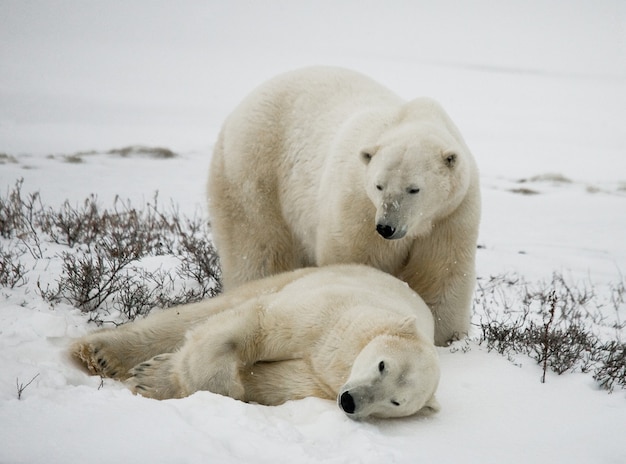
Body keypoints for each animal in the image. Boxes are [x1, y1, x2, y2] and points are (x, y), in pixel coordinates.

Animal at [70, 264, 436, 420]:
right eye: (382, 365)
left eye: (396, 402)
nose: (350, 402)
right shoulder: (330, 316)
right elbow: (257, 324)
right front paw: (153, 376)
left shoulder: (320, 381)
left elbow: (271, 382)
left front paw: (153, 377)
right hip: (300, 276)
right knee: (200, 313)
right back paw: (100, 353)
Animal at [207, 66, 480, 348]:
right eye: (379, 185)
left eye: (413, 189)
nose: (386, 227)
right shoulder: (358, 206)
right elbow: (356, 266)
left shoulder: (452, 214)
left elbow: (441, 273)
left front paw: (447, 338)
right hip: (254, 173)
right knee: (258, 249)